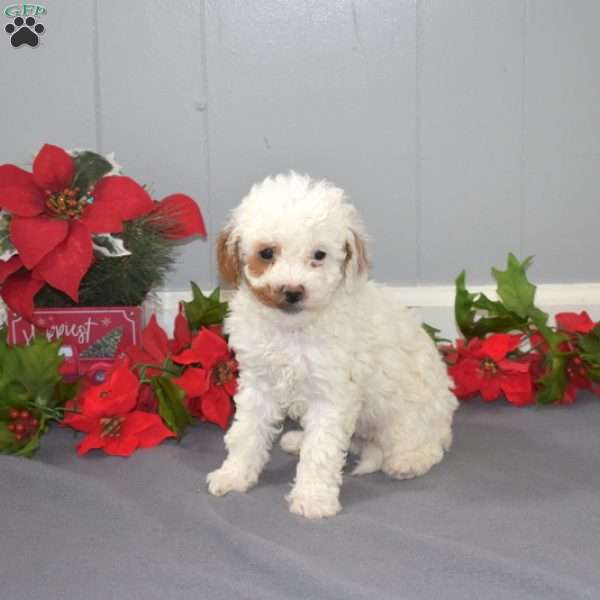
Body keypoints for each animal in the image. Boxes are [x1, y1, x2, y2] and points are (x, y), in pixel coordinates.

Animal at [209, 171, 458, 516]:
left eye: (319, 255)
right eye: (267, 253)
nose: (292, 291)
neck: (293, 328)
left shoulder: (333, 395)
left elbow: (321, 451)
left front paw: (313, 498)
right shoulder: (258, 383)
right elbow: (247, 432)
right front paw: (234, 475)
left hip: (408, 418)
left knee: (427, 445)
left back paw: (408, 461)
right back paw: (297, 440)